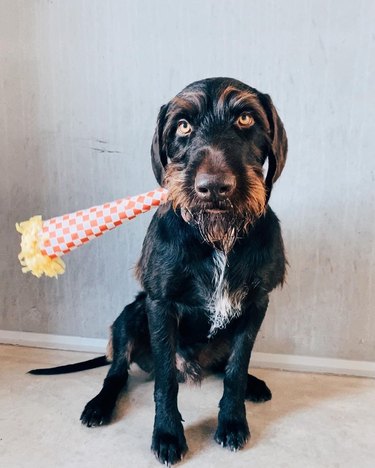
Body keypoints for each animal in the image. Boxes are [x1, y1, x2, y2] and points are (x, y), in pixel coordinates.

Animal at [30, 78, 288, 466]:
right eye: (182, 126)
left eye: (245, 118)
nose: (213, 188)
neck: (217, 238)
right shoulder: (159, 304)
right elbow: (166, 381)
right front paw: (167, 434)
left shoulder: (257, 303)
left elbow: (236, 369)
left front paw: (232, 422)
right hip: (130, 314)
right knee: (117, 372)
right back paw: (100, 405)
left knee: (223, 365)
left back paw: (253, 384)